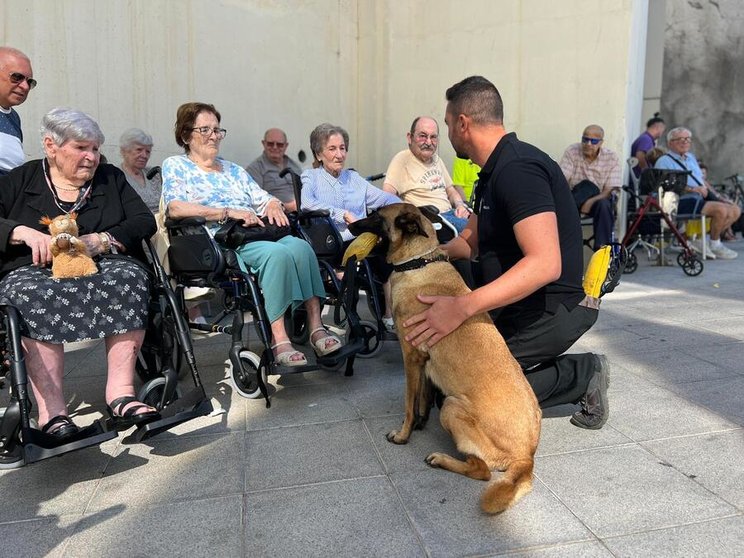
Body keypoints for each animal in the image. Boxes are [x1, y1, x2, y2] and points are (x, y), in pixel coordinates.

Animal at [348, 203, 540, 516]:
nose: (348, 225)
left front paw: (404, 435)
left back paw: (441, 459)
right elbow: (423, 398)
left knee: (482, 471)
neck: (418, 262)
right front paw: (421, 422)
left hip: (451, 406)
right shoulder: (425, 361)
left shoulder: (411, 356)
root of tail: (527, 455)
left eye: (375, 215)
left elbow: (409, 404)